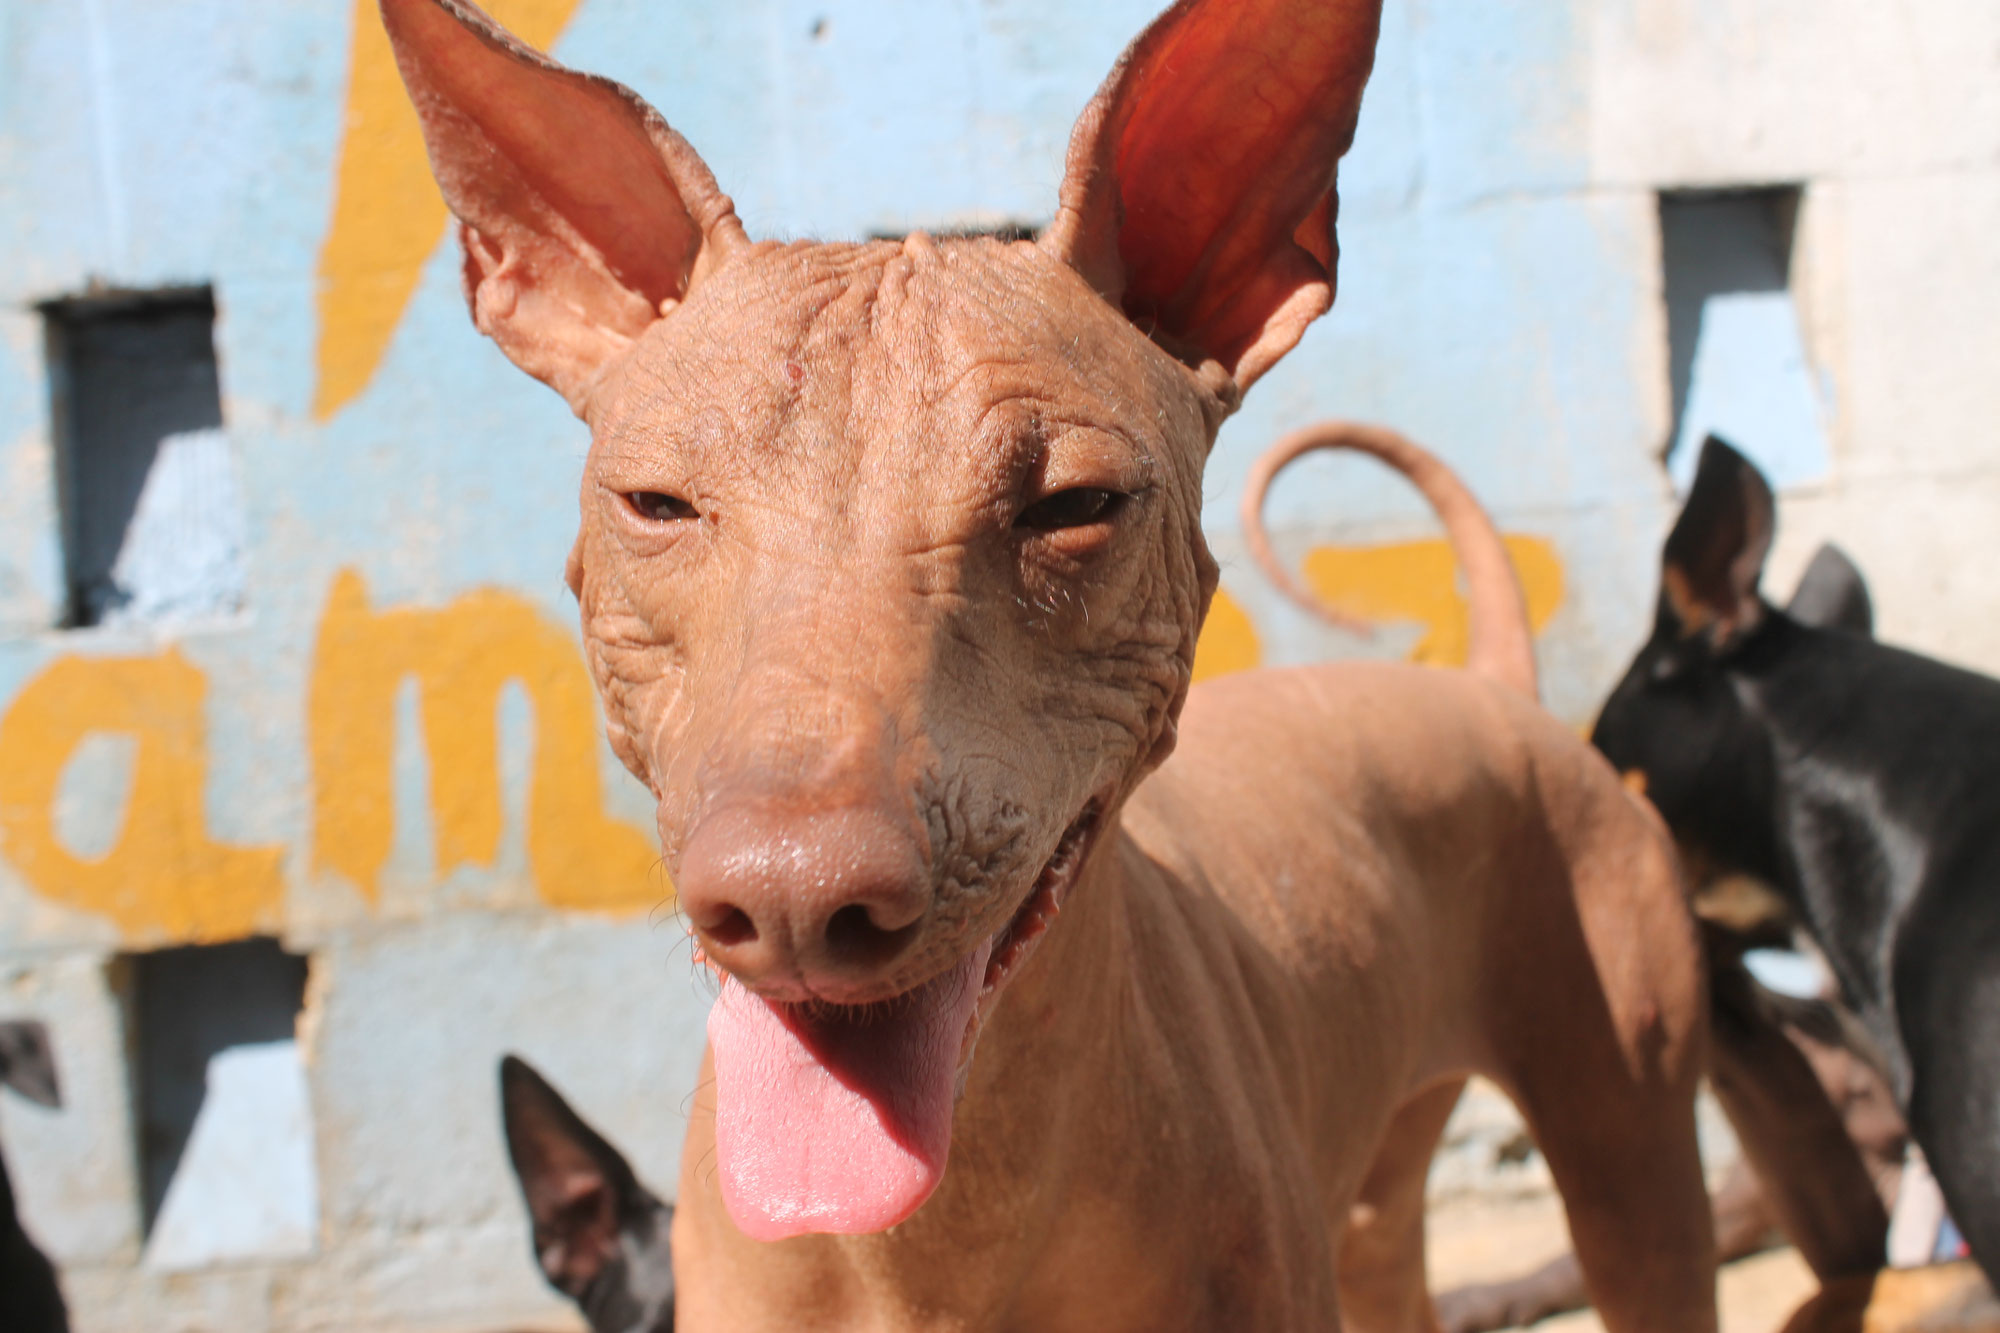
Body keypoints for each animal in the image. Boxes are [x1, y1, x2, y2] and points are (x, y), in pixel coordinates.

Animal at [386, 5, 1720, 1320]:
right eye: (656, 505)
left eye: (1073, 506)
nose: (796, 897)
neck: (936, 1237)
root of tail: (1480, 685)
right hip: (1381, 1203)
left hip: (1635, 1159)